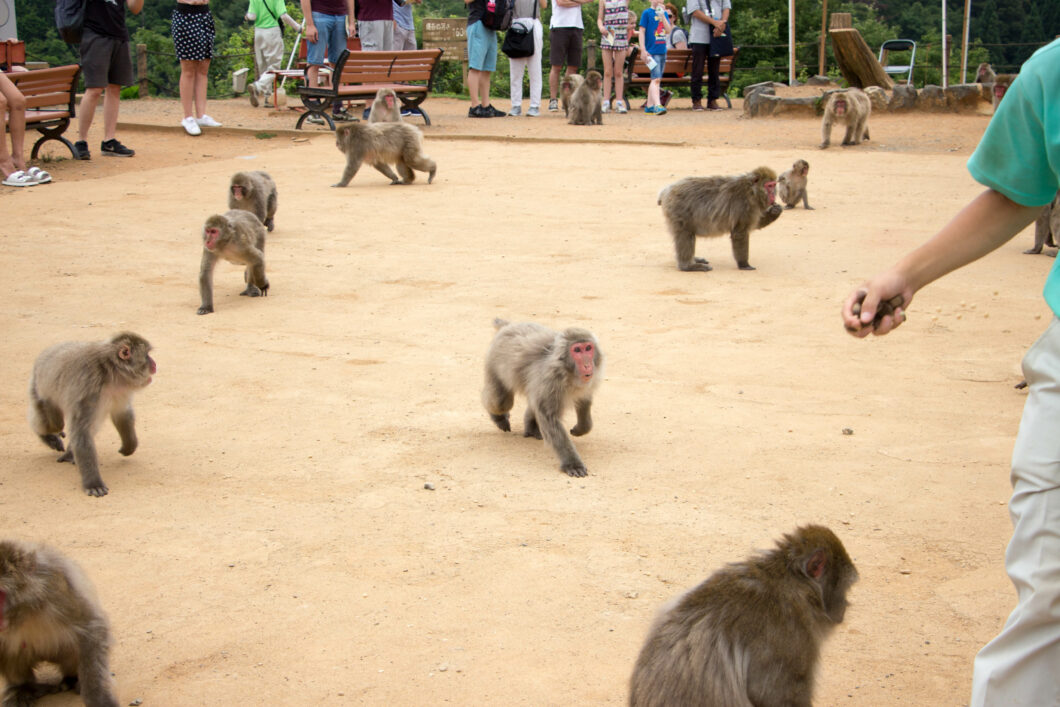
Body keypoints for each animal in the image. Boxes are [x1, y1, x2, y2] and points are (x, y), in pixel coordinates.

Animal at [0, 538, 120, 703]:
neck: (25, 611)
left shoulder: (56, 587)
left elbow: (91, 627)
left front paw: (98, 697)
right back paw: (23, 687)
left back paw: (72, 679)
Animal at [28, 332, 154, 498]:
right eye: (146, 355)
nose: (154, 364)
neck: (109, 372)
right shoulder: (88, 387)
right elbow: (82, 432)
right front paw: (93, 483)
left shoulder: (121, 389)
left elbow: (122, 413)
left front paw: (129, 445)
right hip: (38, 390)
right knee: (53, 423)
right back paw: (47, 436)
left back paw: (70, 453)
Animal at [483, 320, 606, 474]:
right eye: (577, 350)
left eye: (588, 348)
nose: (587, 365)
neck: (567, 372)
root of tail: (509, 325)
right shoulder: (549, 380)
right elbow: (549, 418)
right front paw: (572, 463)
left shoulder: (586, 382)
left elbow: (584, 400)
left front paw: (581, 428)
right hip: (494, 364)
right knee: (501, 402)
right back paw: (498, 417)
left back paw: (531, 426)